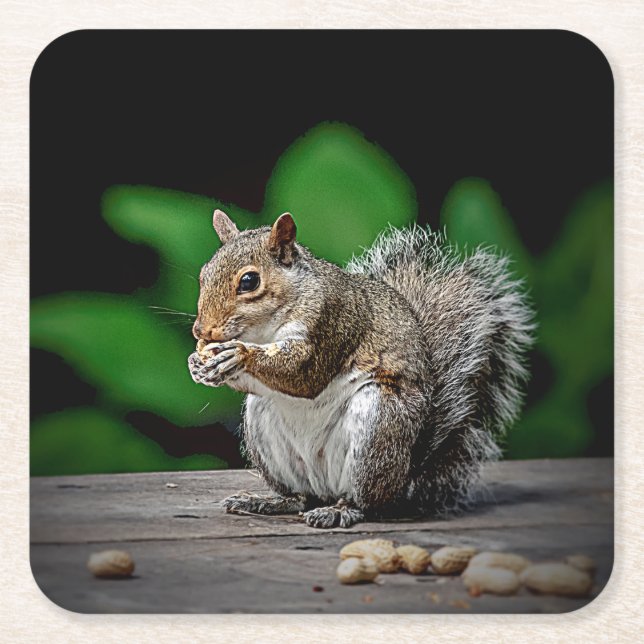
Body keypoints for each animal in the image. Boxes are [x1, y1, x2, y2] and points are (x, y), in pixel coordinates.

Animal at [188, 209, 534, 528]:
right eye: (204, 274)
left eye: (249, 281)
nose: (200, 331)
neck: (263, 330)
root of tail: (406, 476)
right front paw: (198, 365)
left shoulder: (332, 321)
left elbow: (303, 375)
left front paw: (238, 354)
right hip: (265, 426)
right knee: (300, 497)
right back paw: (269, 502)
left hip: (377, 427)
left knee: (365, 501)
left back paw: (340, 510)